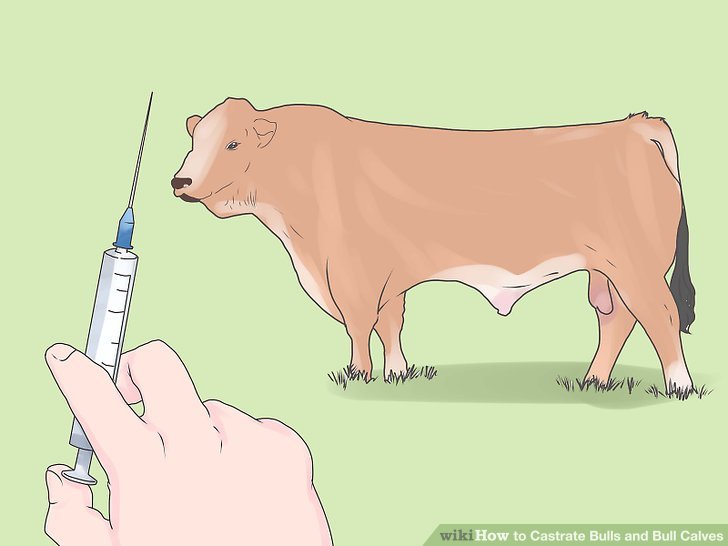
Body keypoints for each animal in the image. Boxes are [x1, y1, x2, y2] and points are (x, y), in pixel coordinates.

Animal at [172, 98, 696, 396]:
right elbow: (391, 323)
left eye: (233, 144)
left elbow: (360, 324)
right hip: (605, 271)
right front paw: (396, 374)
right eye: (195, 140)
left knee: (661, 315)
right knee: (616, 319)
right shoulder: (388, 272)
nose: (181, 181)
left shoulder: (351, 270)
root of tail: (634, 125)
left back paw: (679, 385)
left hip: (636, 266)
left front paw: (358, 375)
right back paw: (593, 380)